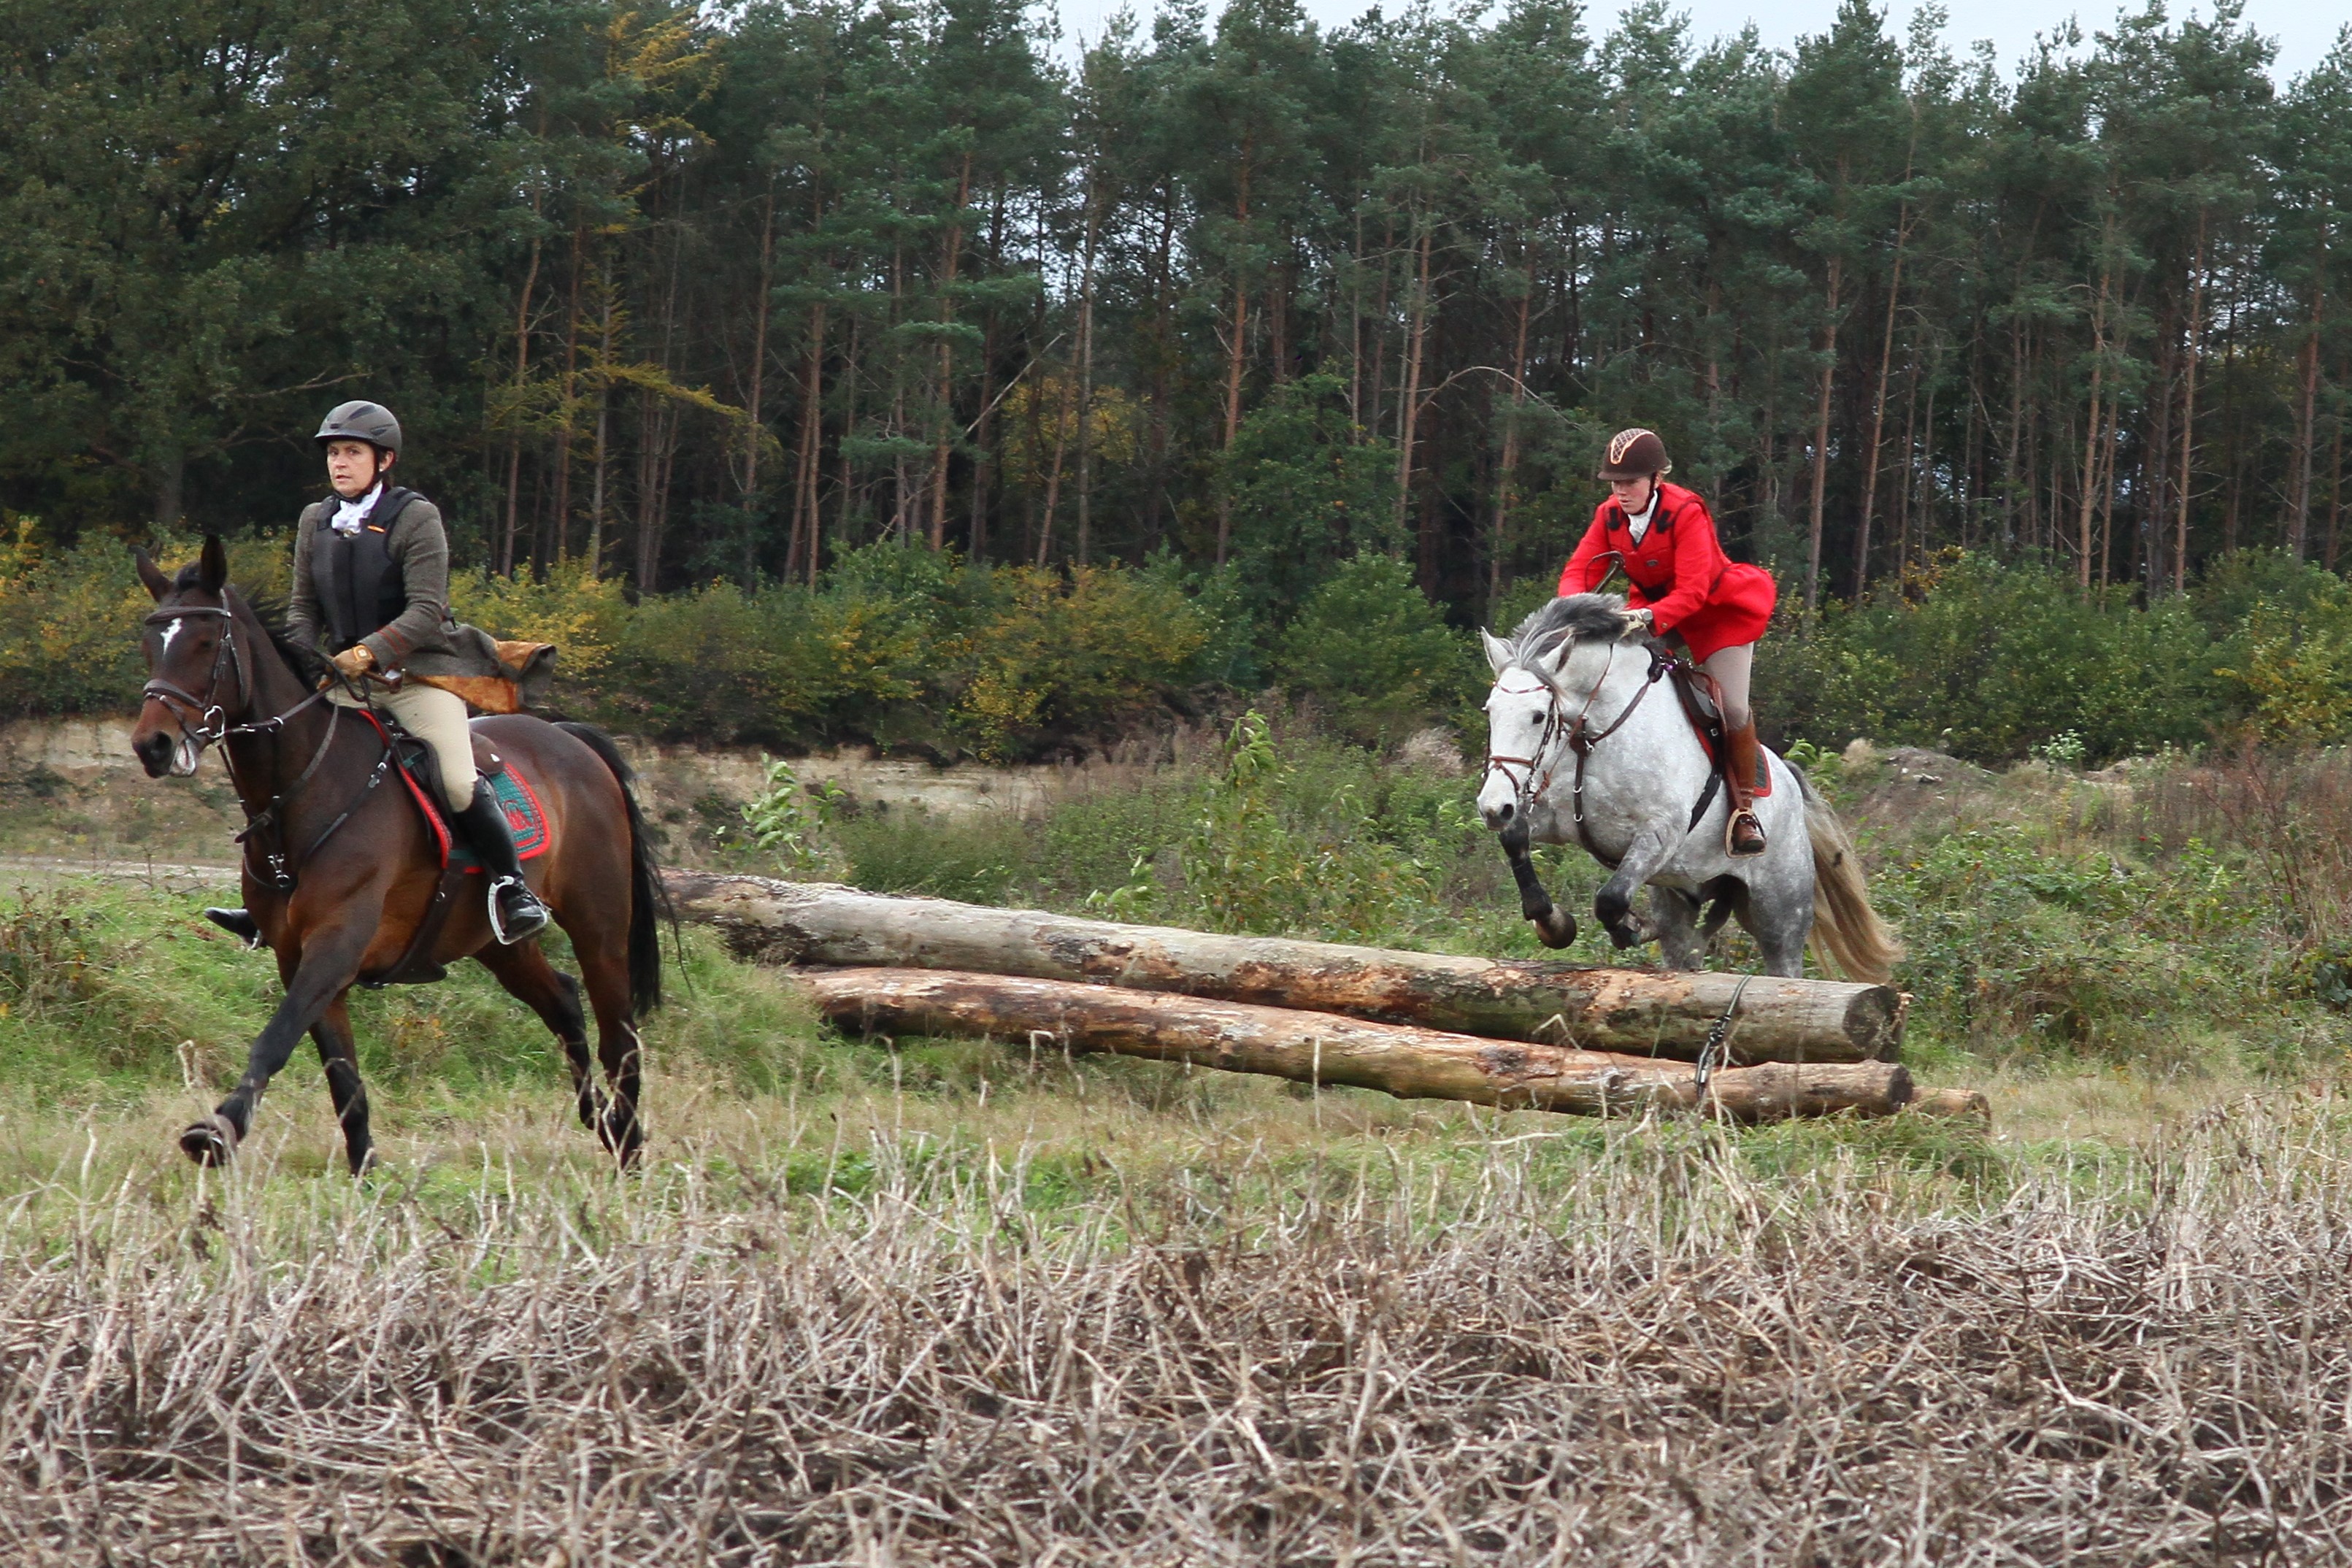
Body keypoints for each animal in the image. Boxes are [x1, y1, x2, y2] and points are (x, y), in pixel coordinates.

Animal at [128, 535, 668, 1172]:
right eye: (151, 643)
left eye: (207, 643)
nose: (152, 745)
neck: (303, 791)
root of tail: (573, 740)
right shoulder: (299, 957)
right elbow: (344, 1081)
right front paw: (364, 1175)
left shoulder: (336, 945)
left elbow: (275, 1041)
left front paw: (216, 1131)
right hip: (493, 941)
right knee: (561, 1000)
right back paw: (601, 1121)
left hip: (599, 926)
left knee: (620, 1036)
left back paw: (627, 1142)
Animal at [1476, 593, 1899, 984]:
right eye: (1490, 711)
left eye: (1538, 716)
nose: (1492, 807)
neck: (1591, 735)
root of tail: (1792, 787)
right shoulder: (1553, 816)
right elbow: (1516, 838)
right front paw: (1554, 924)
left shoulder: (1662, 829)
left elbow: (1610, 899)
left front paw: (1631, 927)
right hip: (1682, 894)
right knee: (1686, 947)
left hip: (1780, 914)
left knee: (1783, 967)